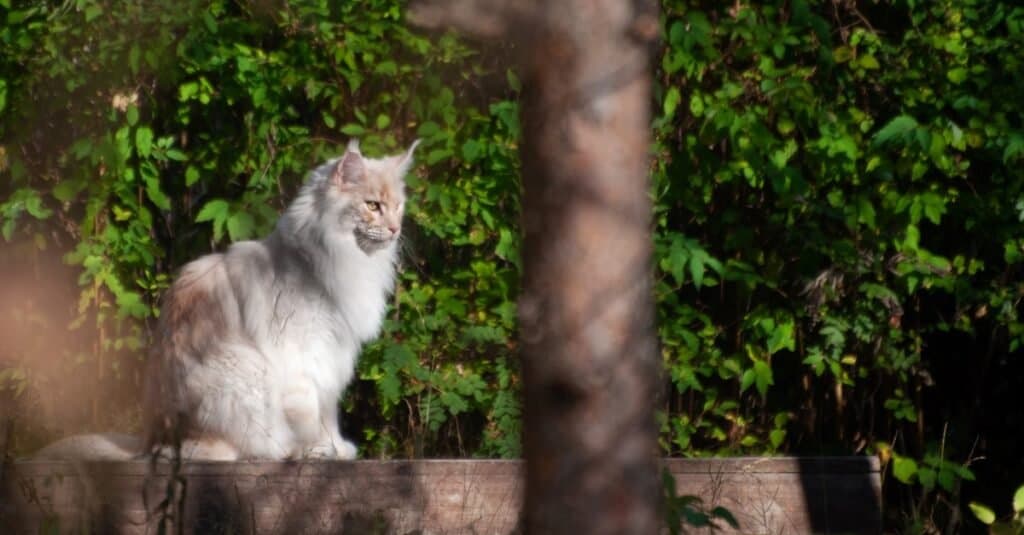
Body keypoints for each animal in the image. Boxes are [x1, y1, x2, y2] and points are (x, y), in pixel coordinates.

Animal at [33, 139, 415, 459]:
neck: (334, 260)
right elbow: (313, 414)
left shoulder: (333, 357)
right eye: (372, 206)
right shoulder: (305, 358)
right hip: (244, 370)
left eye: (398, 207)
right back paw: (282, 451)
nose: (396, 229)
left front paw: (337, 447)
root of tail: (148, 445)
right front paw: (320, 449)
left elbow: (329, 411)